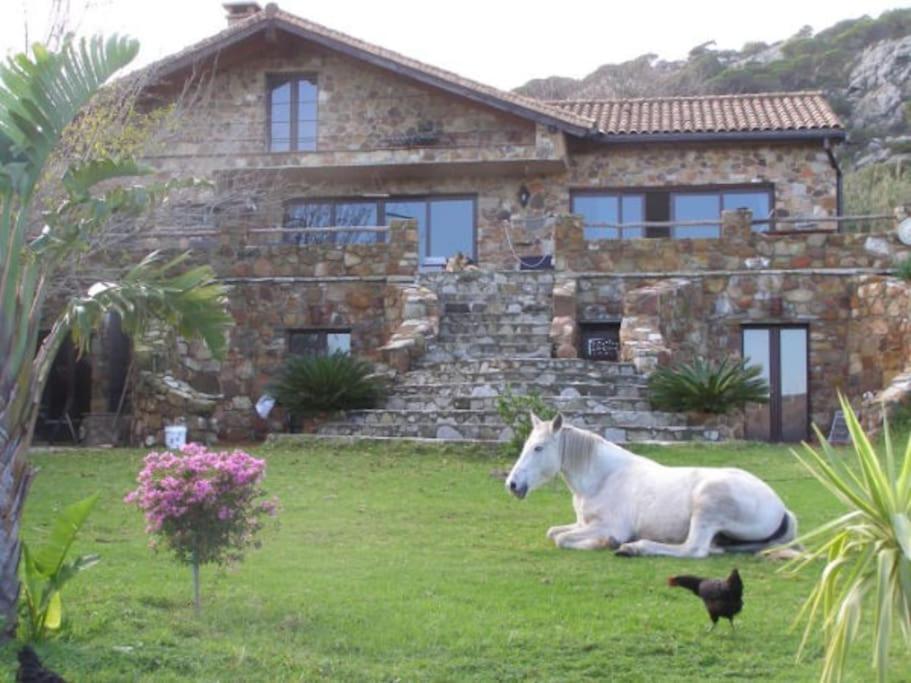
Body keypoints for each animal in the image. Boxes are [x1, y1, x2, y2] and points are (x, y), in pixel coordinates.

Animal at [504, 413, 798, 558]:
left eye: (538, 448)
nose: (512, 484)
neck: (603, 477)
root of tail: (780, 508)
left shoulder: (609, 526)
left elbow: (562, 539)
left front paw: (607, 543)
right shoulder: (582, 524)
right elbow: (553, 533)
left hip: (707, 505)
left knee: (694, 550)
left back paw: (634, 548)